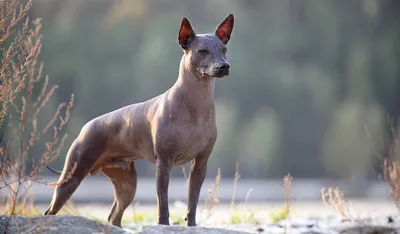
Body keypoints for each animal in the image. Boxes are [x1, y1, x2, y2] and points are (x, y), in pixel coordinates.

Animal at [44, 13, 234, 228]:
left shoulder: (200, 164)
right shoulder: (164, 163)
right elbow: (163, 203)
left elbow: (192, 202)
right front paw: (164, 225)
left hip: (127, 184)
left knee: (114, 216)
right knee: (50, 211)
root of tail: (85, 127)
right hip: (72, 176)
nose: (224, 66)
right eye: (202, 51)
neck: (195, 104)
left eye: (224, 50)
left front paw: (192, 226)